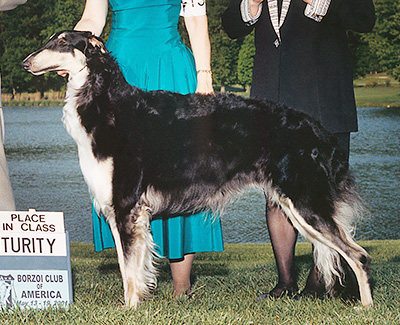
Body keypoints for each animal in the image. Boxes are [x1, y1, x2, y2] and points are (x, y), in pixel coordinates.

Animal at [21, 31, 374, 308]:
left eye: (63, 41)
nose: (26, 62)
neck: (108, 105)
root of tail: (318, 129)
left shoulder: (126, 205)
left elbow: (130, 270)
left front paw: (131, 308)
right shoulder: (126, 212)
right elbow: (129, 267)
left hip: (306, 203)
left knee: (359, 256)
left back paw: (366, 308)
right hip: (297, 206)